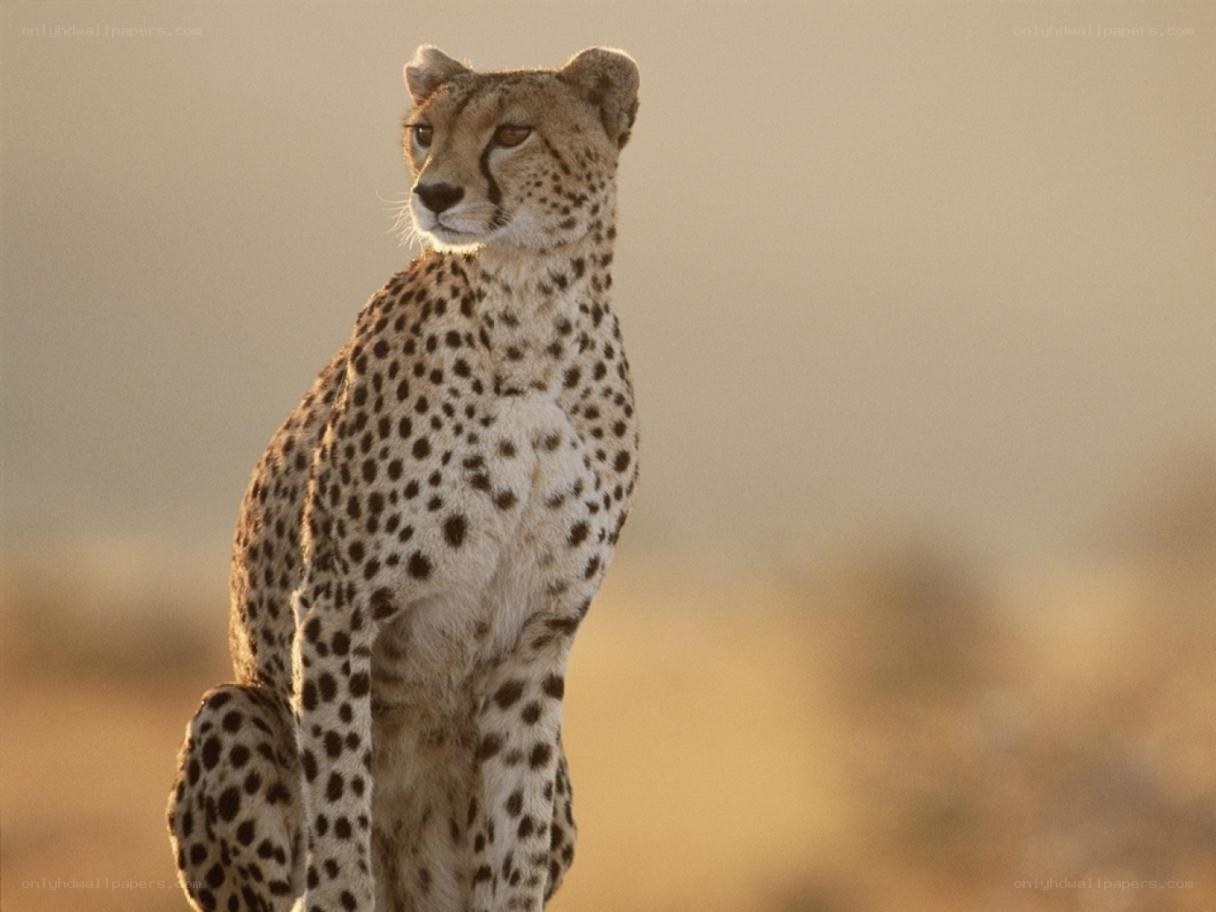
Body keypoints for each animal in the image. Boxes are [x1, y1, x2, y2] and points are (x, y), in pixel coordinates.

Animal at [166, 44, 640, 912]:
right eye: (424, 131)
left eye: (514, 132)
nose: (435, 192)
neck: (533, 317)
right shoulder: (337, 602)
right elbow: (340, 799)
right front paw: (346, 879)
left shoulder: (538, 639)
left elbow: (515, 829)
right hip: (232, 708)